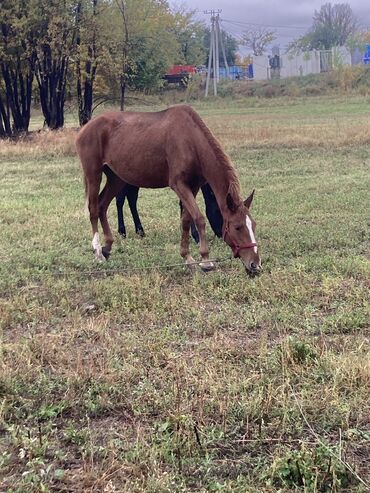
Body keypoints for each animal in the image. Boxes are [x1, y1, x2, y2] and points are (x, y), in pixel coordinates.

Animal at [75, 104, 260, 272]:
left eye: (253, 225)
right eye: (237, 227)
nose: (255, 265)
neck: (191, 140)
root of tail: (85, 127)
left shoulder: (192, 186)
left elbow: (186, 219)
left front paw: (187, 257)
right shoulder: (178, 184)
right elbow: (199, 218)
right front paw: (206, 260)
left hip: (116, 179)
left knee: (102, 206)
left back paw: (107, 247)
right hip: (94, 174)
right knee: (93, 209)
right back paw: (98, 251)